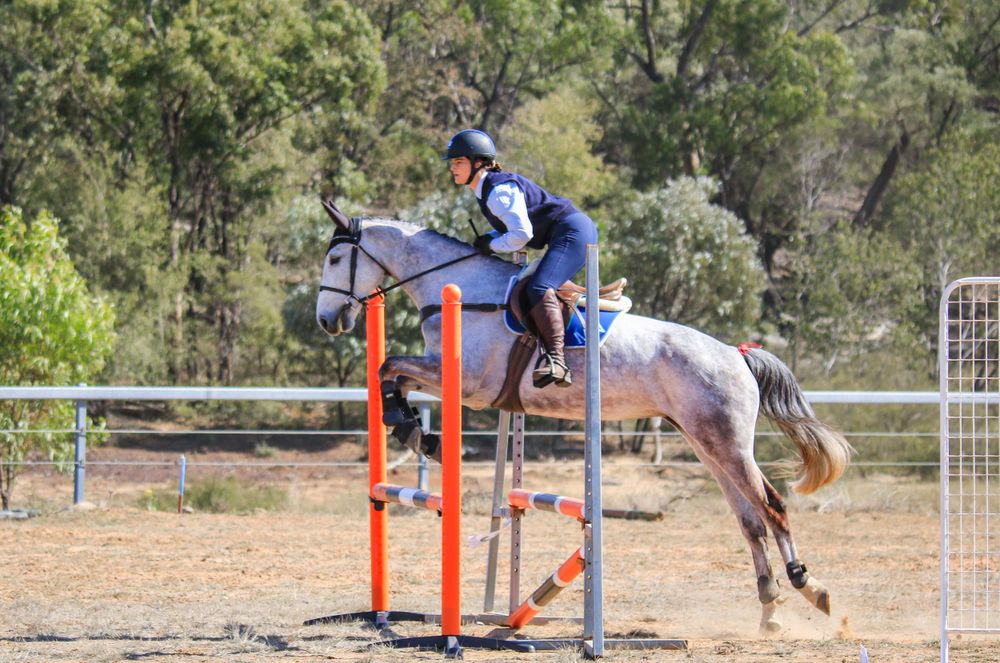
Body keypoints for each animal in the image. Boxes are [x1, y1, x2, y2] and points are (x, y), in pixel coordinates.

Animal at [314, 205, 852, 634]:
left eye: (336, 260)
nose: (326, 321)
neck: (465, 292)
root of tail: (737, 355)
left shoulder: (469, 385)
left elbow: (389, 366)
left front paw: (415, 430)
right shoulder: (448, 378)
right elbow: (393, 375)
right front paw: (413, 429)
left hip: (727, 444)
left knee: (773, 507)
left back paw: (811, 587)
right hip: (706, 444)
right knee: (750, 521)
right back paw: (770, 609)